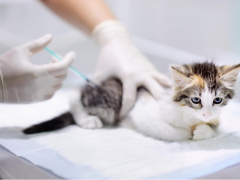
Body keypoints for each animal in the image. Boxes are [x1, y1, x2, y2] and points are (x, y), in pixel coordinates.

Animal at [23, 62, 240, 141]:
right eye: (196, 100)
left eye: (217, 100)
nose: (206, 114)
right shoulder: (143, 109)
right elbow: (173, 132)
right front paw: (188, 133)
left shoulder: (216, 117)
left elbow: (214, 127)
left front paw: (203, 130)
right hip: (111, 100)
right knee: (76, 92)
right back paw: (87, 119)